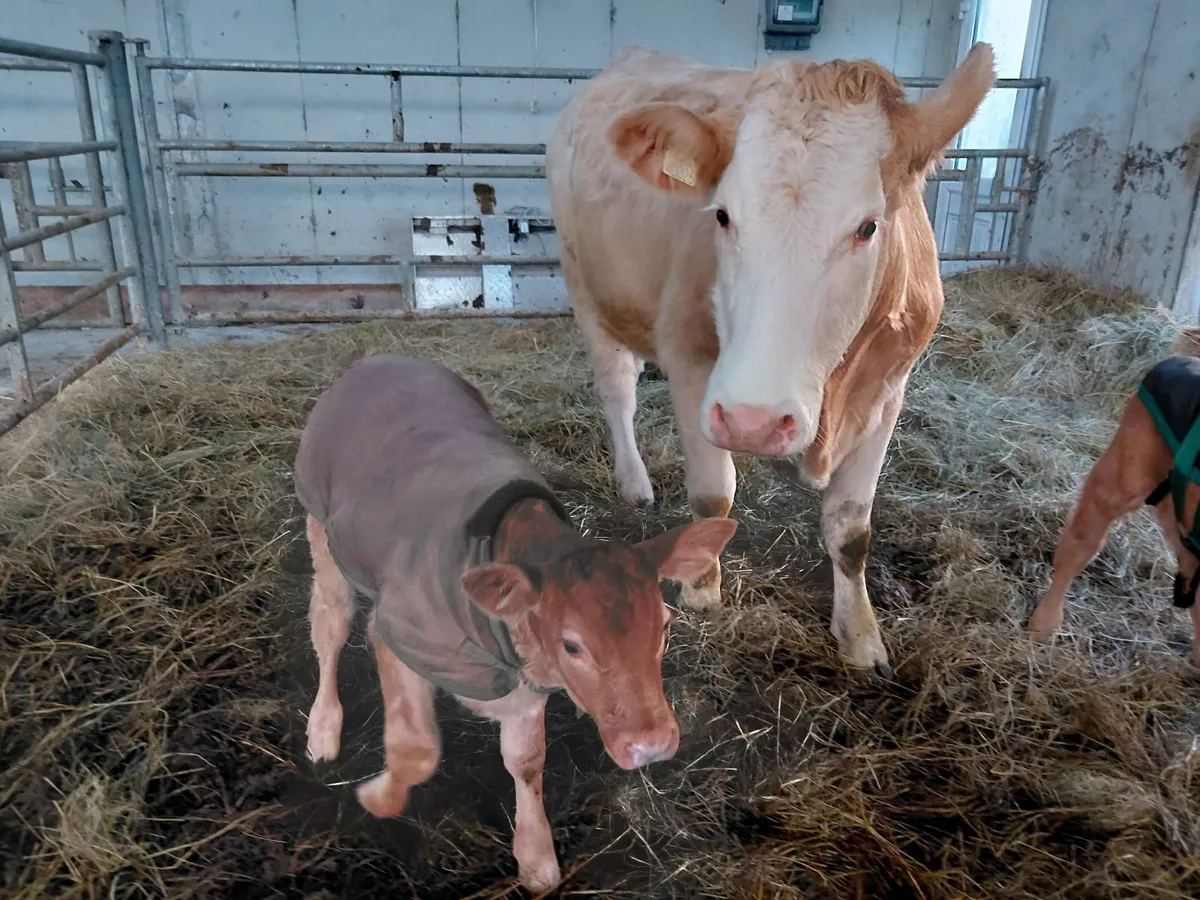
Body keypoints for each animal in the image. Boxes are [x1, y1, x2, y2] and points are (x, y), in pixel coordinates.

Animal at [294, 354, 739, 893]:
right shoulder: (397, 631)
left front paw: (536, 857)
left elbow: (527, 762)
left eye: (666, 627)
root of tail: (382, 359)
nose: (652, 746)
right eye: (572, 646)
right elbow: (415, 749)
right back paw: (323, 728)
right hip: (321, 525)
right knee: (330, 623)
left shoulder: (524, 682)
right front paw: (379, 799)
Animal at [546, 44, 997, 676]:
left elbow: (850, 527)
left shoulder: (890, 387)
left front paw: (861, 636)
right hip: (583, 284)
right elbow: (713, 494)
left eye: (867, 226)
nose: (752, 421)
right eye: (721, 215)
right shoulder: (691, 362)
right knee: (617, 389)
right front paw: (701, 591)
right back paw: (634, 483)